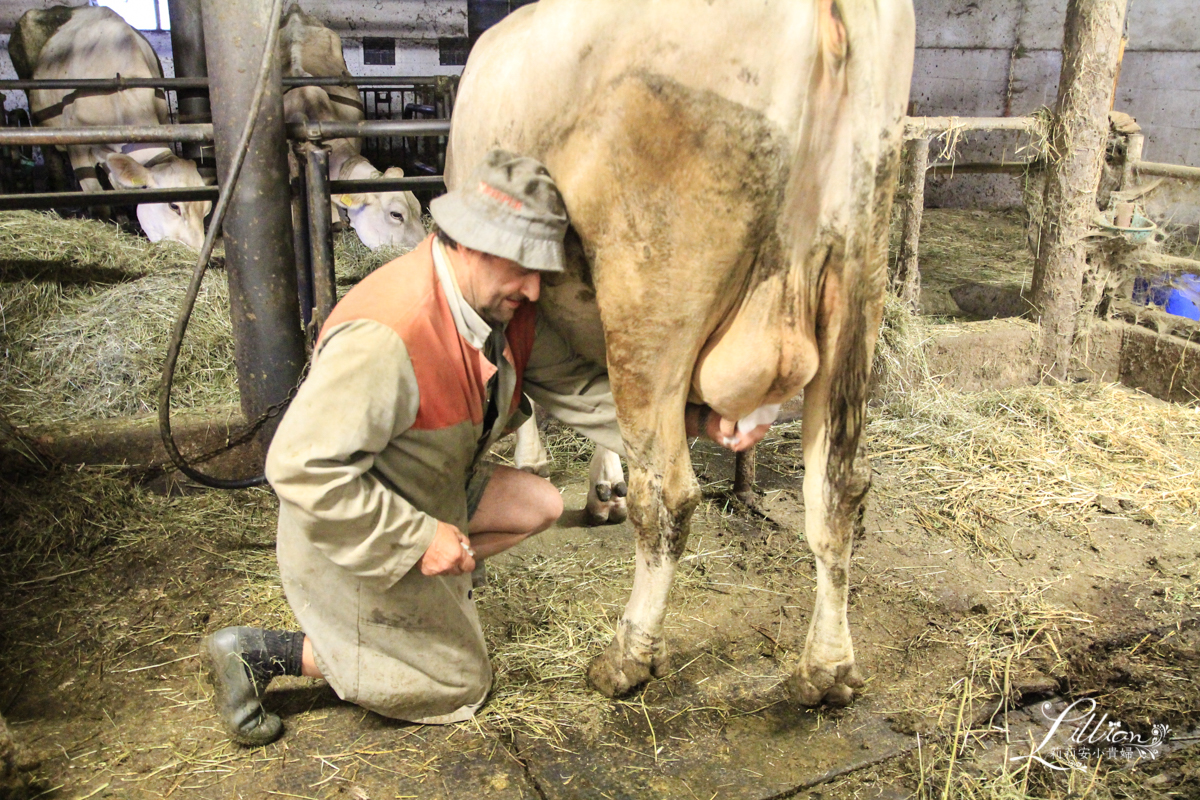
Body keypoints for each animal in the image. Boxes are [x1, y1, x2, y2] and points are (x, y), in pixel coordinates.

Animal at [446, 0, 912, 705]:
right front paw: (600, 487)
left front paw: (547, 466)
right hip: (857, 284)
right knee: (838, 488)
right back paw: (826, 670)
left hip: (652, 295)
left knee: (667, 493)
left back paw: (626, 657)